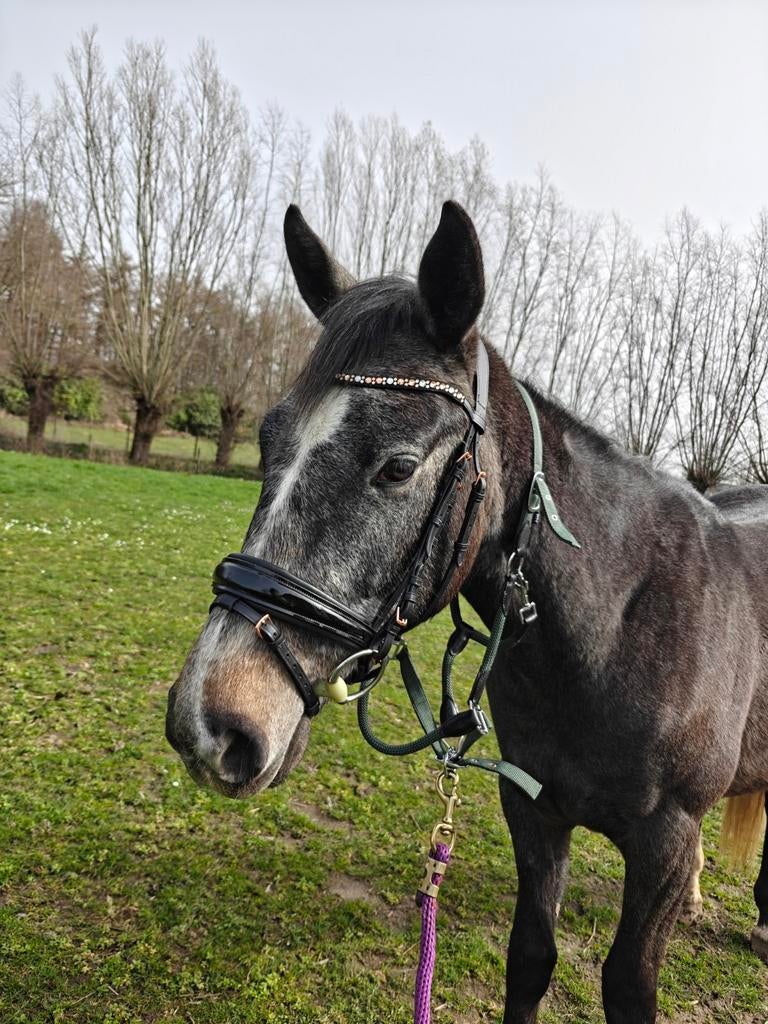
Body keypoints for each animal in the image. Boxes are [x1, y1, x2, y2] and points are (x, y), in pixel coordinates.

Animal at [165, 200, 768, 1022]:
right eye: (266, 439)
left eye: (398, 467)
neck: (620, 626)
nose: (208, 723)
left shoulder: (664, 845)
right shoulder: (536, 814)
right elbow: (531, 959)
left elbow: (626, 987)